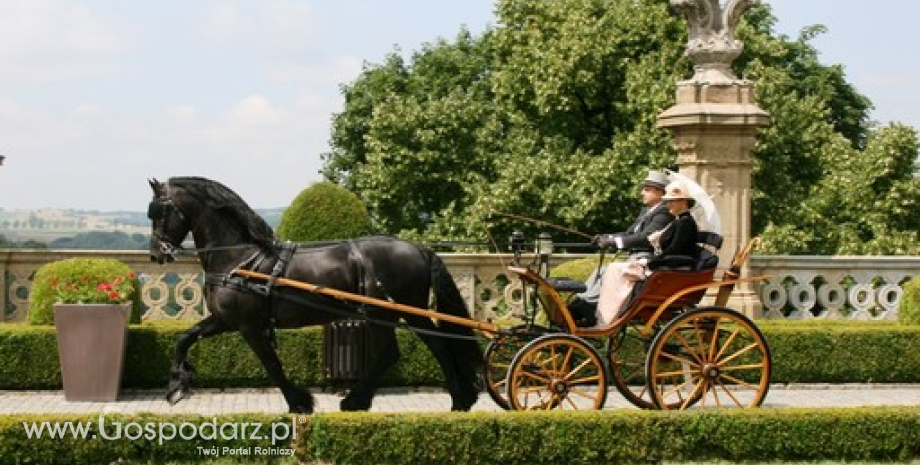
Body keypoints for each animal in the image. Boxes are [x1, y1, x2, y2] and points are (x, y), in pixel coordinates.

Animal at [146, 176, 482, 412]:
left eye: (158, 212)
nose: (155, 254)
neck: (239, 258)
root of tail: (419, 249)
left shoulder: (248, 326)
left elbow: (272, 365)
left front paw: (299, 402)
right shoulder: (224, 320)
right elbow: (184, 337)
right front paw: (176, 384)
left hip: (386, 312)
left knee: (395, 352)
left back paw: (357, 400)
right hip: (403, 313)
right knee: (437, 345)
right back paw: (458, 399)